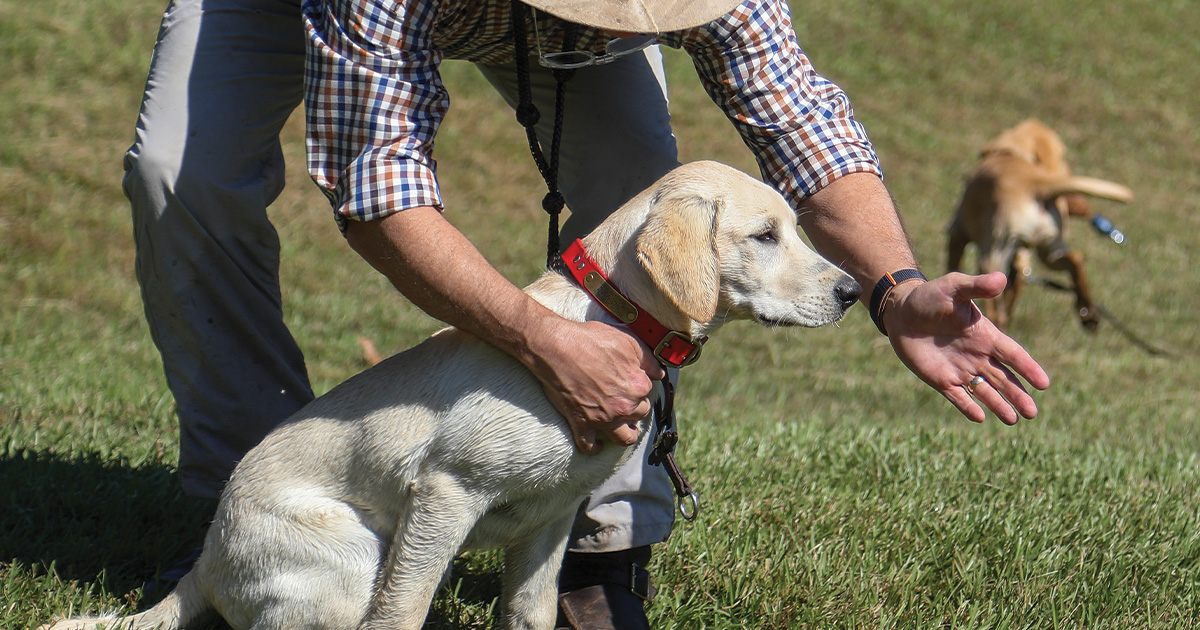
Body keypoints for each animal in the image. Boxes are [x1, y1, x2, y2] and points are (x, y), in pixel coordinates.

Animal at [42, 159, 859, 628]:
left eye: (795, 228)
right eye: (765, 235)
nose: (854, 292)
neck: (603, 318)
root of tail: (206, 563)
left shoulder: (551, 521)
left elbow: (530, 615)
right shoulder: (444, 494)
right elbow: (402, 613)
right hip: (352, 558)